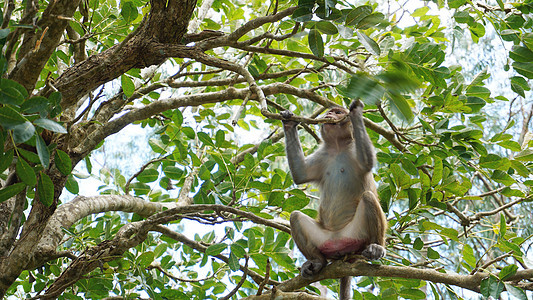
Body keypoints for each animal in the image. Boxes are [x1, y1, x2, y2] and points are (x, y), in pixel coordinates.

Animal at [280, 99, 384, 298]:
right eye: (330, 112)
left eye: (337, 112)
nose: (329, 115)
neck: (337, 147)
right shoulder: (322, 156)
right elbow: (301, 174)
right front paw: (289, 123)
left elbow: (367, 161)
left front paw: (356, 112)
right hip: (325, 240)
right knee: (295, 216)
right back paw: (317, 261)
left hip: (357, 236)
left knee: (368, 197)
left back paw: (376, 248)